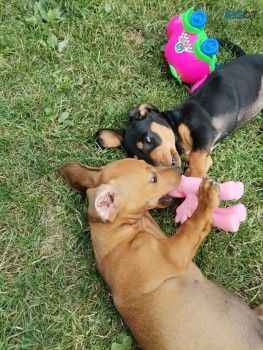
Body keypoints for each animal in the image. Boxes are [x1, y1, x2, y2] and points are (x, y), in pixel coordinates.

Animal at [59, 159, 263, 350]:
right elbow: (194, 224)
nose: (180, 169)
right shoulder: (175, 252)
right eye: (153, 179)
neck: (121, 237)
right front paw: (206, 196)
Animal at [96, 54, 263, 178]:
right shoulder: (205, 151)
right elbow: (201, 160)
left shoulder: (204, 131)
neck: (175, 125)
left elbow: (196, 162)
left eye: (148, 140)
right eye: (140, 159)